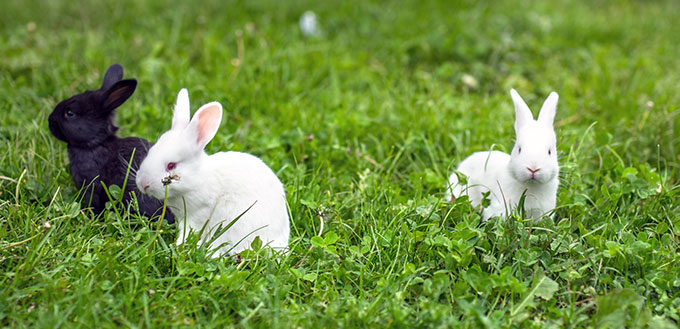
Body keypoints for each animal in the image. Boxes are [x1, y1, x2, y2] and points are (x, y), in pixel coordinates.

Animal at [135, 88, 290, 255]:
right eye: (150, 152)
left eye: (171, 165)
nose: (143, 184)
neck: (197, 178)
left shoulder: (198, 212)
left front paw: (179, 245)